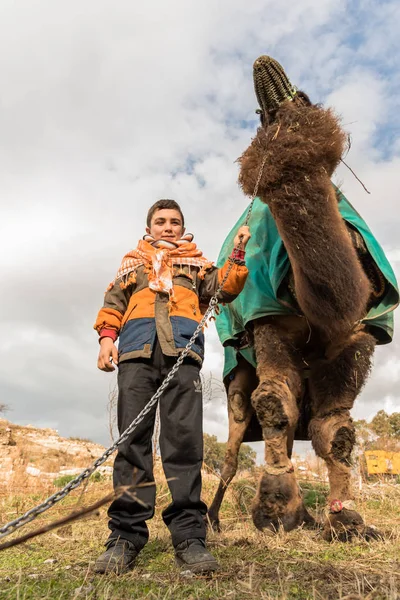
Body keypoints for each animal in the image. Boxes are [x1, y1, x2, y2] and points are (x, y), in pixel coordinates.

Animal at [208, 56, 398, 540]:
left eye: (305, 98)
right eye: (260, 115)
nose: (263, 63)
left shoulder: (363, 332)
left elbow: (337, 430)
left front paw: (346, 520)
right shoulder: (269, 319)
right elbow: (274, 403)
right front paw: (276, 510)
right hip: (237, 370)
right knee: (238, 434)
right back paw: (214, 517)